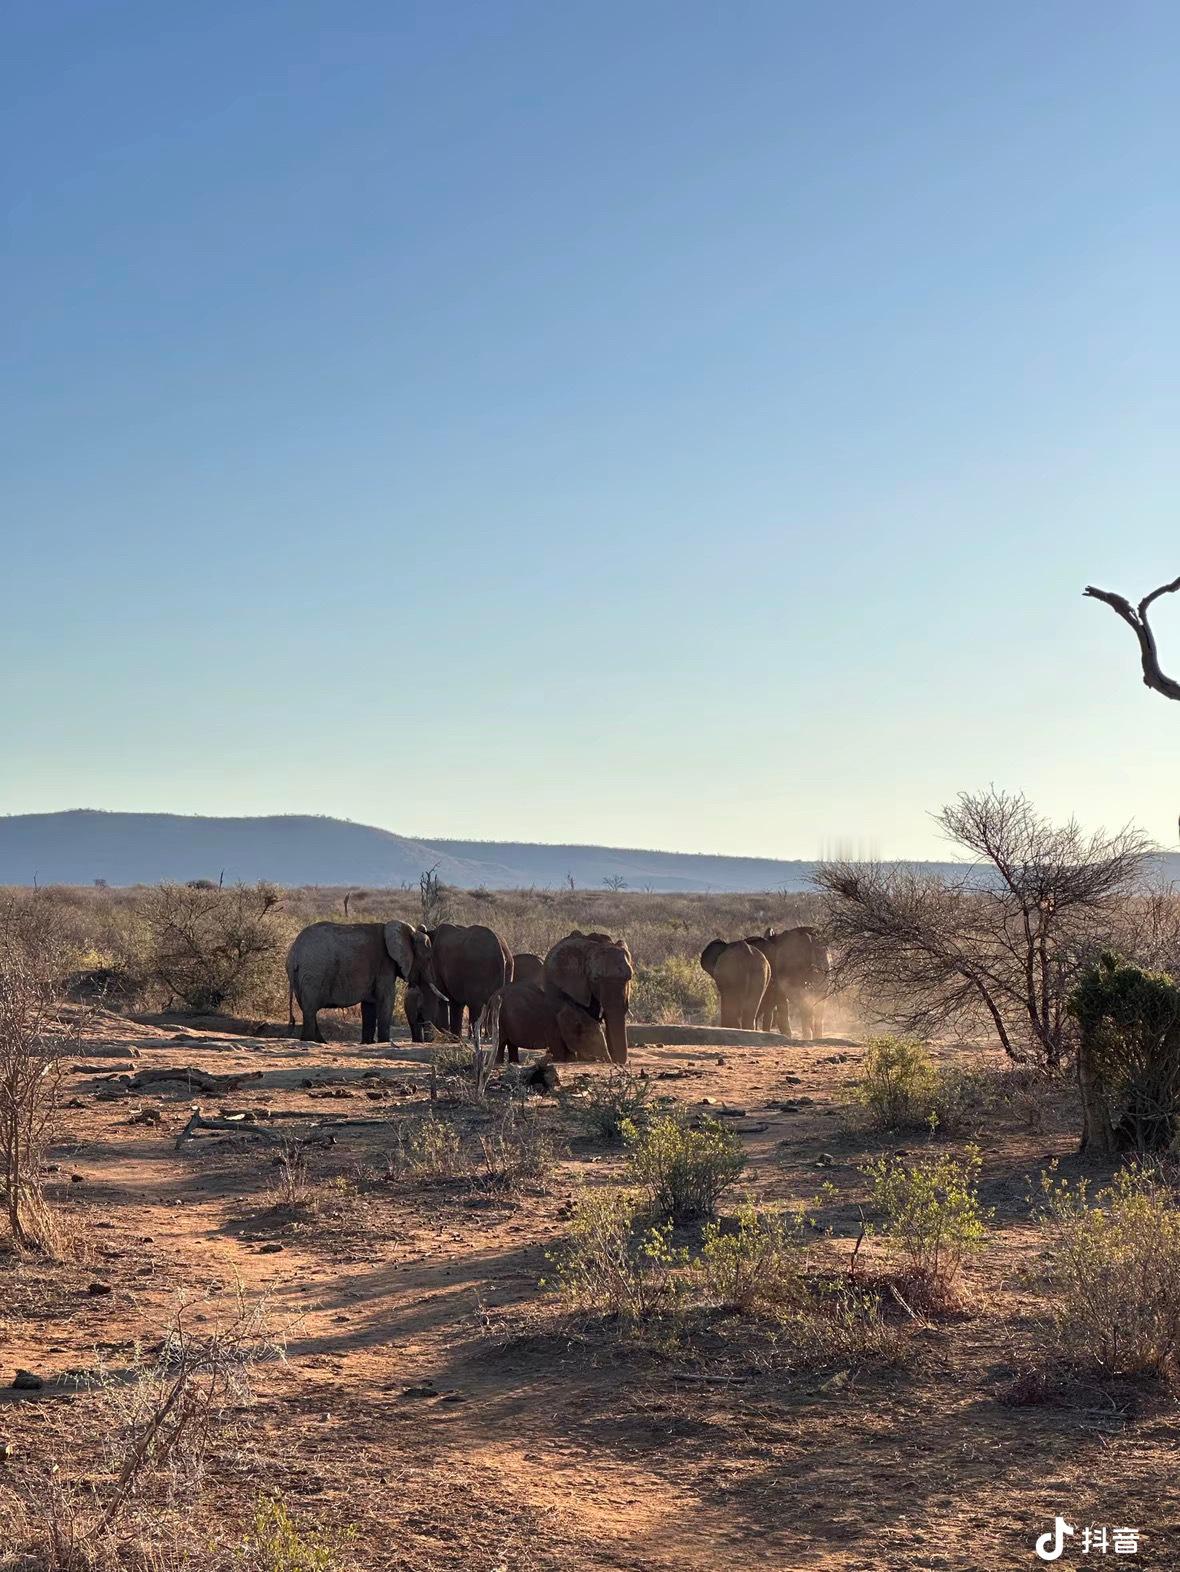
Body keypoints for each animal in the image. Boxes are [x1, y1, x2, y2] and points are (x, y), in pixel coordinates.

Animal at [285, 918, 439, 1043]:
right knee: (310, 1009)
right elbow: (387, 998)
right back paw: (310, 1040)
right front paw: (384, 1042)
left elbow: (369, 1003)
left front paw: (368, 1043)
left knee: (307, 1008)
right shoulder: (385, 964)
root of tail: (294, 953)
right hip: (313, 973)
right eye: (428, 958)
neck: (409, 931)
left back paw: (320, 1042)